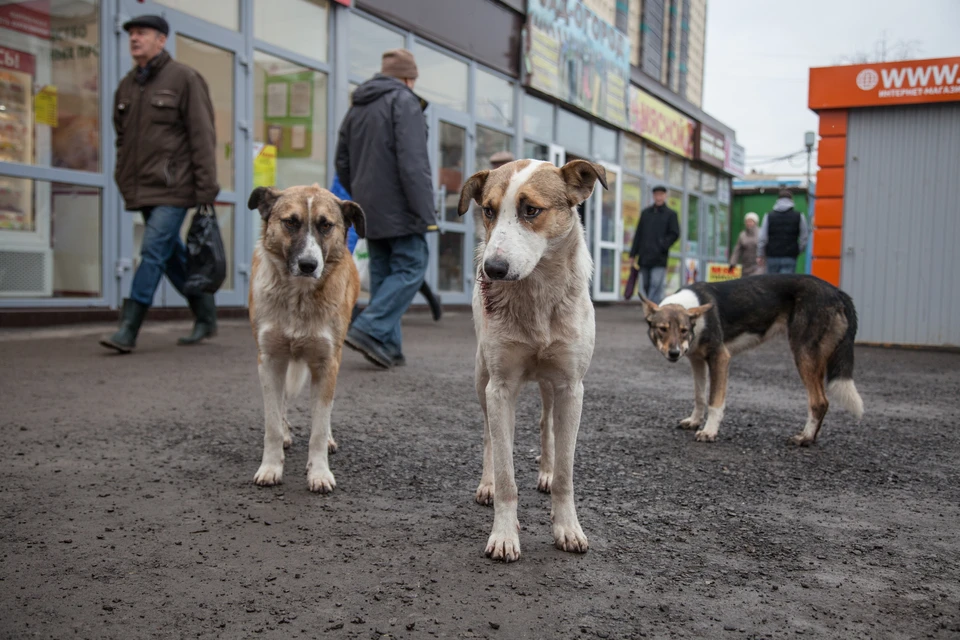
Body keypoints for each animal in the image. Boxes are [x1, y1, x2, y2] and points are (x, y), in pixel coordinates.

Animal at [246, 182, 366, 492]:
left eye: (326, 225)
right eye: (291, 222)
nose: (309, 265)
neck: (299, 297)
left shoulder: (327, 363)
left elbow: (319, 427)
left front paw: (319, 472)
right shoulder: (269, 360)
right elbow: (272, 424)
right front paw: (271, 467)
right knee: (282, 405)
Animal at [458, 158, 608, 564]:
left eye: (531, 211)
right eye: (488, 211)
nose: (492, 269)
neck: (537, 293)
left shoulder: (571, 387)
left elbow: (566, 473)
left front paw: (567, 527)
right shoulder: (500, 387)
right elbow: (506, 472)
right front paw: (504, 535)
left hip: (549, 385)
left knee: (546, 424)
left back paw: (545, 472)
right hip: (480, 377)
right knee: (489, 435)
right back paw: (487, 483)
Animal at [644, 276, 864, 444]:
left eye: (683, 330)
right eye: (662, 329)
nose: (674, 353)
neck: (697, 318)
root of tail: (837, 292)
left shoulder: (720, 358)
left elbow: (714, 401)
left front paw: (709, 431)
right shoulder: (697, 360)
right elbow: (699, 396)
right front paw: (694, 421)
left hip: (804, 355)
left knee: (819, 402)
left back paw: (805, 438)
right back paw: (812, 437)